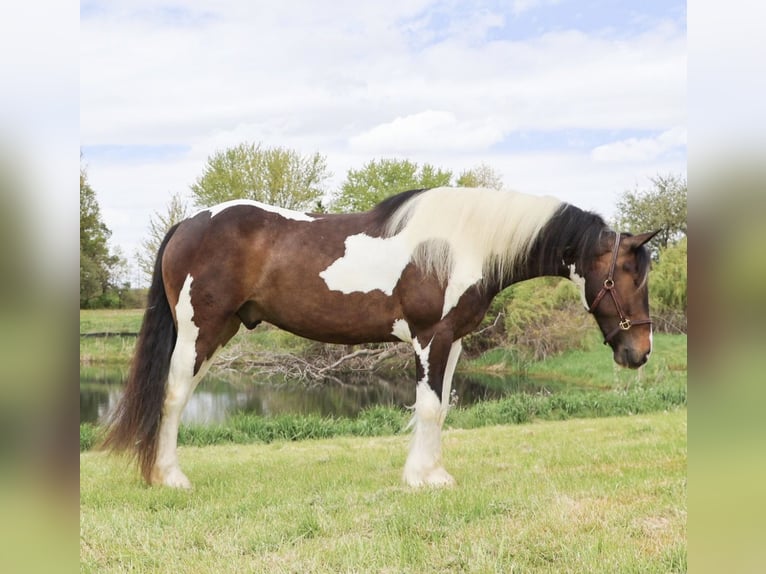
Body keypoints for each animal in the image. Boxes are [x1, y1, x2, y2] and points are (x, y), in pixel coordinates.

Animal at [103, 186, 658, 489]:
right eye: (627, 277)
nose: (640, 353)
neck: (460, 243)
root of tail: (189, 223)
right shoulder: (429, 338)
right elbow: (428, 408)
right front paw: (419, 479)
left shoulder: (453, 341)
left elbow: (442, 407)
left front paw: (434, 474)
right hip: (200, 332)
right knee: (174, 396)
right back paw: (170, 477)